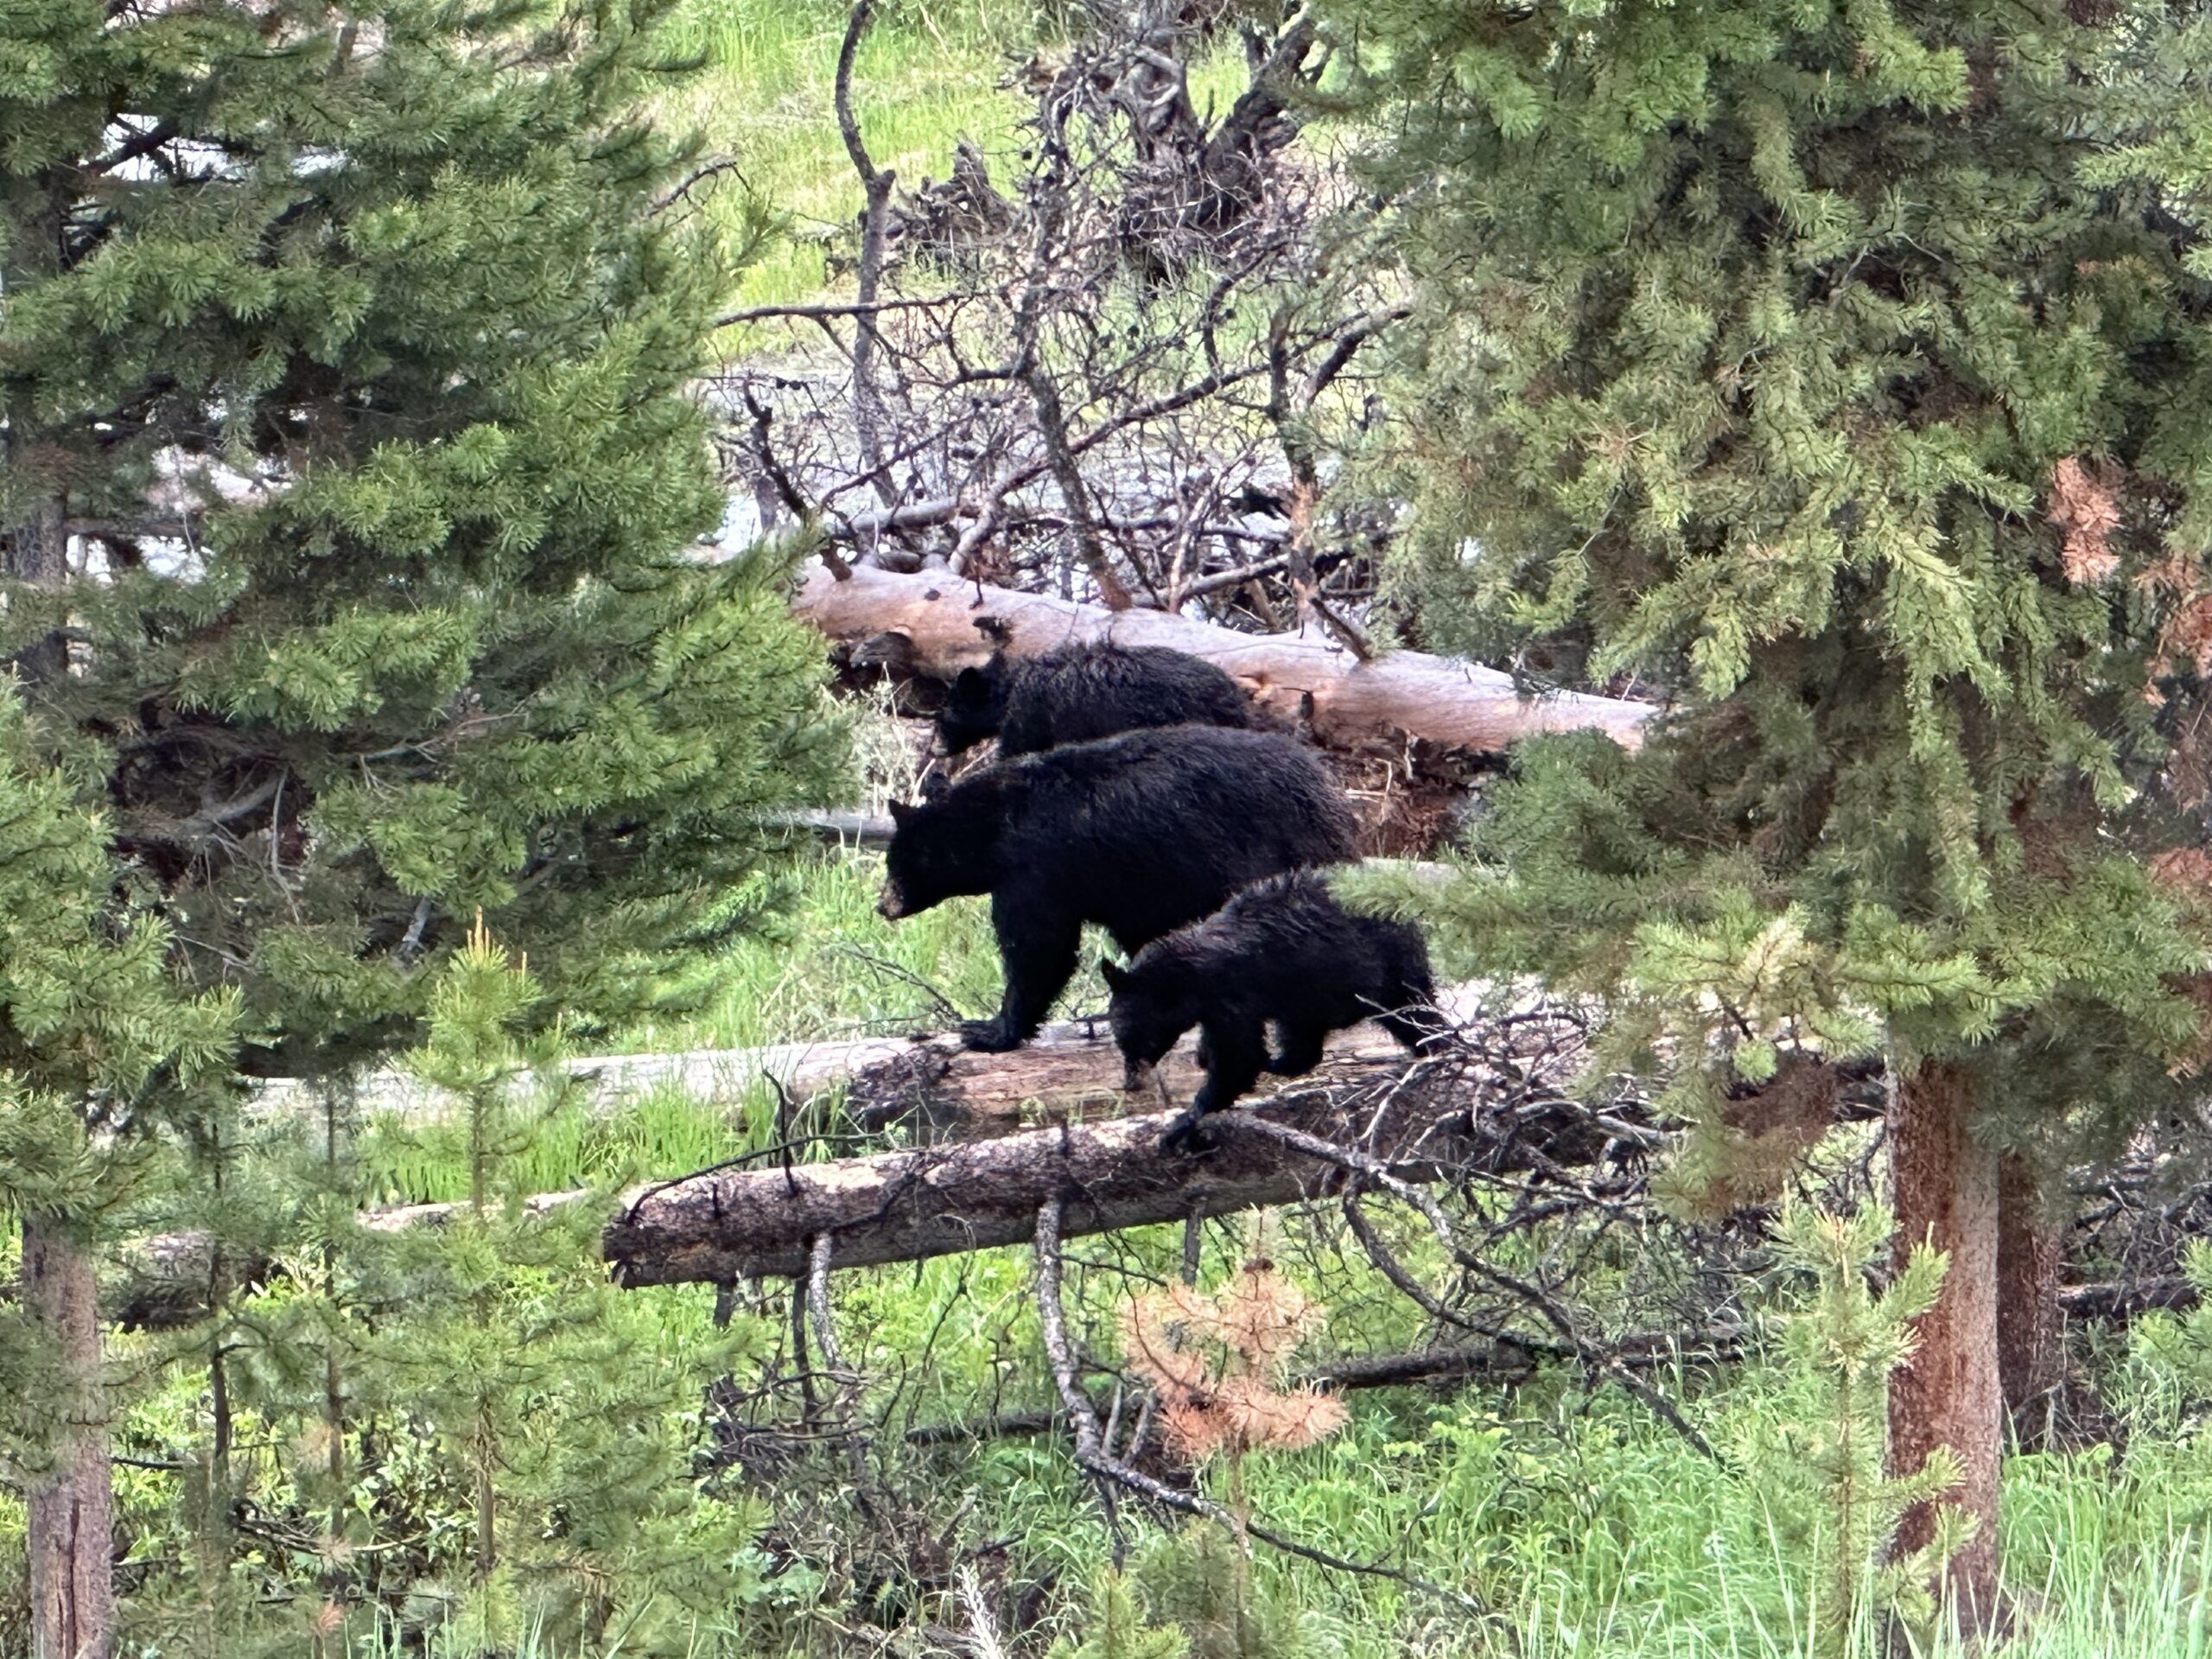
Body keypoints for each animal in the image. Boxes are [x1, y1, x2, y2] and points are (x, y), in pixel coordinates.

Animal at [875, 725, 1353, 1052]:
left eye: (897, 864)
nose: (882, 906)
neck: (995, 823)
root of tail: (1325, 790)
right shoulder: (1136, 886)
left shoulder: (1037, 872)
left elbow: (1038, 948)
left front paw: (989, 1030)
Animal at [1096, 871, 1442, 1159]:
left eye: (1129, 1037)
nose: (1130, 1083)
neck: (1186, 976)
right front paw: (1204, 1058)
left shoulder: (1230, 995)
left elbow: (1238, 1057)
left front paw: (1184, 1120)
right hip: (1308, 990)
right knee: (1303, 1035)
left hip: (1385, 970)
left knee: (1413, 1013)